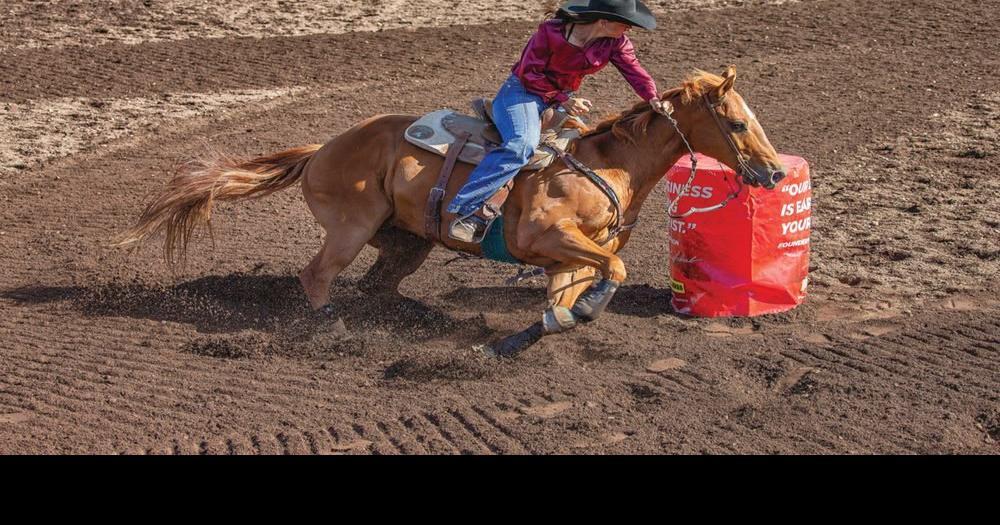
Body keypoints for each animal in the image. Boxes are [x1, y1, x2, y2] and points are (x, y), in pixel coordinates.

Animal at [121, 67, 784, 356]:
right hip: (350, 229)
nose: (776, 174)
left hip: (405, 242)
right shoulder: (547, 236)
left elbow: (573, 295)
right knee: (316, 277)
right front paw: (575, 315)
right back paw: (332, 328)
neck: (604, 167)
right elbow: (611, 273)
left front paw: (534, 333)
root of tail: (323, 148)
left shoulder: (566, 259)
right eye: (735, 123)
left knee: (378, 286)